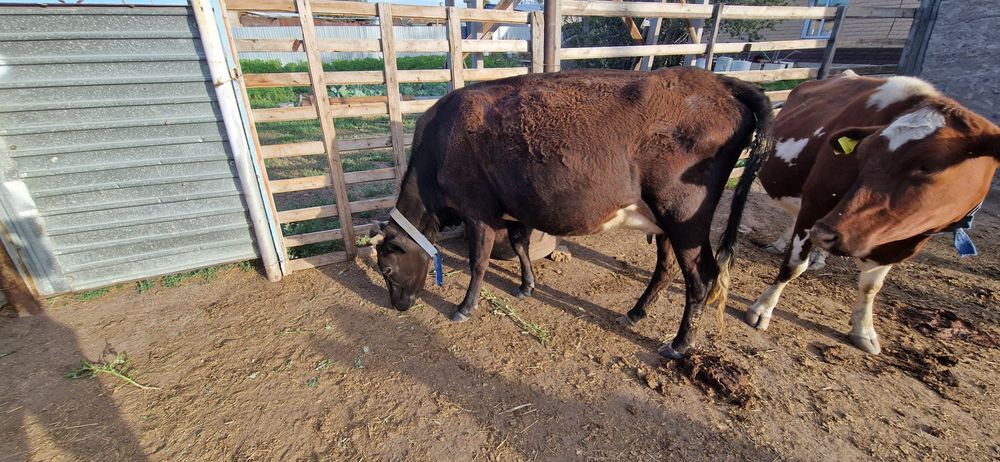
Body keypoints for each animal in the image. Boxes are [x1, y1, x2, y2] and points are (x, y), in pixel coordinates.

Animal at [370, 67, 774, 359]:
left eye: (386, 269)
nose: (399, 306)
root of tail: (720, 81)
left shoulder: (478, 210)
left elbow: (479, 262)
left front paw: (465, 307)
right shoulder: (517, 208)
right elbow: (519, 245)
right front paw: (526, 286)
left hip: (684, 216)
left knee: (702, 277)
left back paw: (679, 344)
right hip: (664, 222)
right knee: (666, 268)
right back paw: (635, 313)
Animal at [747, 71, 1000, 354]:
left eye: (930, 166)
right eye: (864, 152)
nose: (824, 233)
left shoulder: (901, 242)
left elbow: (871, 287)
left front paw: (864, 331)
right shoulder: (815, 205)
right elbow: (793, 266)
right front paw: (762, 309)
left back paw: (818, 257)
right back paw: (785, 246)